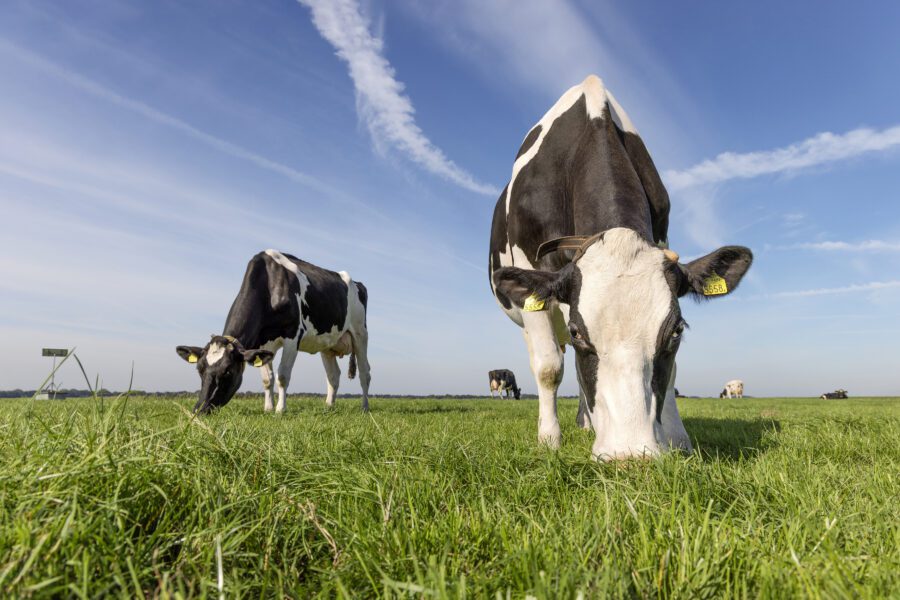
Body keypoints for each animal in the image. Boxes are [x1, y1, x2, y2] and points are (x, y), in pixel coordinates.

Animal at [176, 249, 371, 414]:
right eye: (199, 369)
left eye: (228, 372)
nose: (199, 410)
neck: (269, 285)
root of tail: (357, 283)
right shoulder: (262, 343)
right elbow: (267, 379)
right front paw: (268, 408)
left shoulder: (293, 334)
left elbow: (282, 375)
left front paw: (280, 410)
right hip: (328, 344)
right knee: (333, 376)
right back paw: (329, 407)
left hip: (360, 334)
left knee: (364, 373)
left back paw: (365, 408)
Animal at [488, 75, 753, 460]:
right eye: (578, 333)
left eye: (677, 331)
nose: (630, 457)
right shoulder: (532, 275)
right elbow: (549, 368)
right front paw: (549, 440)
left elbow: (672, 373)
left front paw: (677, 438)